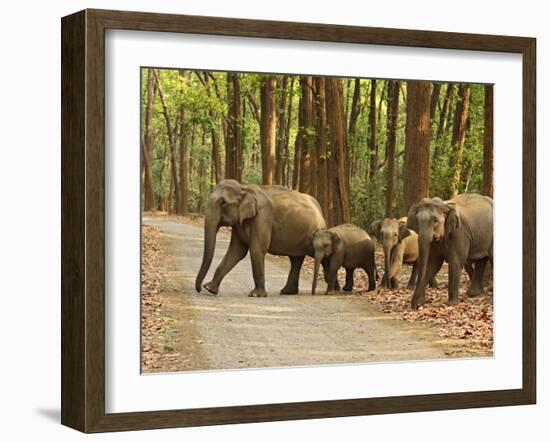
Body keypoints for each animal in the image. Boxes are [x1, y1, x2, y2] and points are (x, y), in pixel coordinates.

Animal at [195, 179, 328, 296]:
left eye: (223, 202)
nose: (199, 289)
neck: (244, 187)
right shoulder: (239, 224)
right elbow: (236, 251)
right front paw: (210, 289)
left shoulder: (263, 217)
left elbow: (256, 249)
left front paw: (255, 295)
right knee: (296, 259)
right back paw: (287, 292)